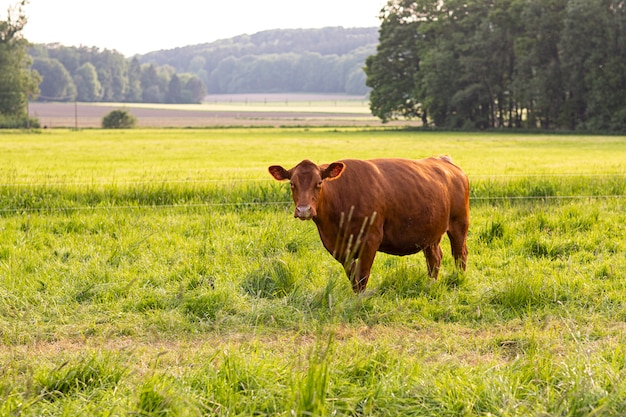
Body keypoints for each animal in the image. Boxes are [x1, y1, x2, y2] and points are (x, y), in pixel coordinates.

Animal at [268, 157, 468, 292]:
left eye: (319, 182)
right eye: (292, 184)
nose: (304, 210)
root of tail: (443, 160)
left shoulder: (370, 240)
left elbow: (362, 275)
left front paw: (360, 301)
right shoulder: (338, 247)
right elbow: (352, 275)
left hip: (459, 224)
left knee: (460, 254)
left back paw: (459, 280)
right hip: (430, 233)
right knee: (434, 258)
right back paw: (430, 284)